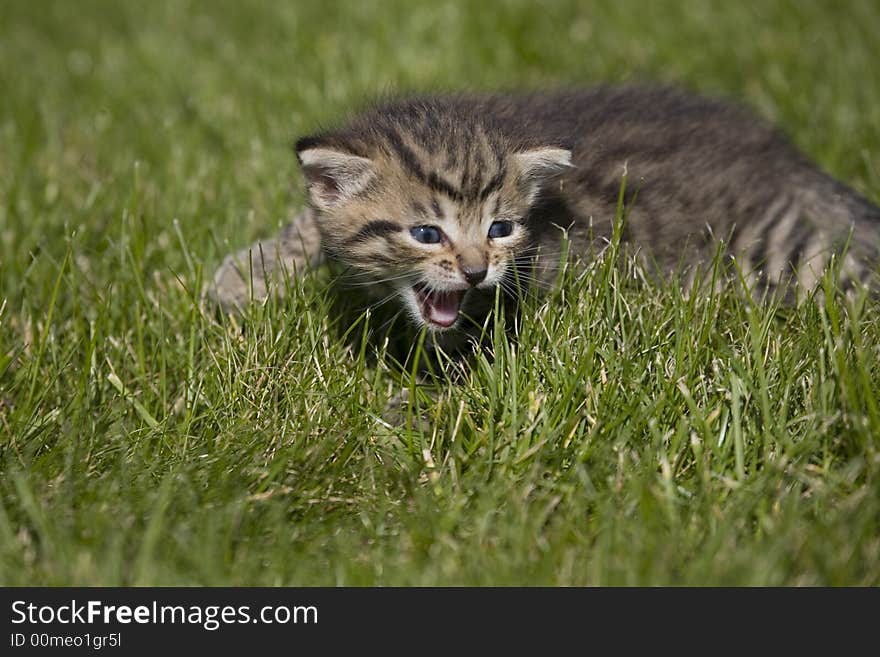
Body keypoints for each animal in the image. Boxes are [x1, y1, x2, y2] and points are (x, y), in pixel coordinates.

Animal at [208, 83, 880, 344]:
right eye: (427, 233)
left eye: (499, 228)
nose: (476, 271)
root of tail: (784, 155)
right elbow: (309, 226)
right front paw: (247, 275)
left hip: (782, 253)